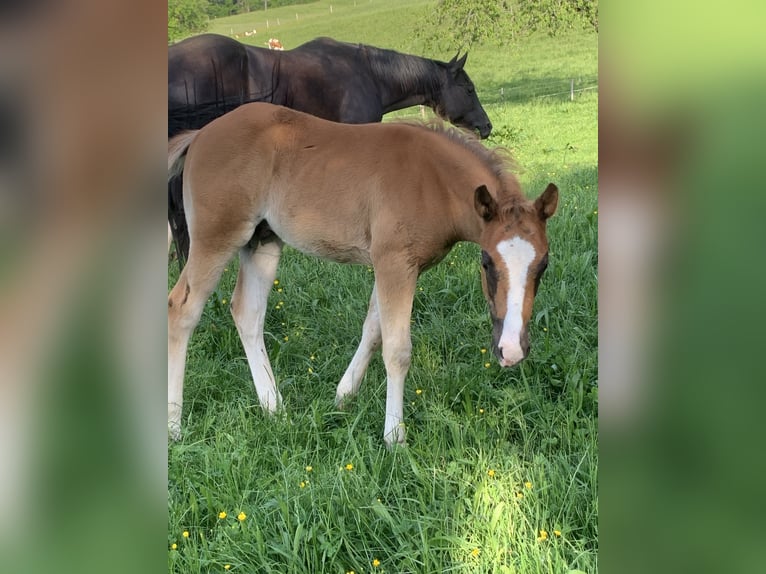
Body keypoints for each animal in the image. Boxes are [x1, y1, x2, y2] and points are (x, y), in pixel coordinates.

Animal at [166, 102, 560, 446]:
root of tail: (201, 134)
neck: (432, 181)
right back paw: (174, 426)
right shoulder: (394, 262)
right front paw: (394, 436)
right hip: (216, 238)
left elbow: (373, 331)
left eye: (543, 265)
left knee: (247, 313)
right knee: (181, 309)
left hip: (262, 242)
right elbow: (397, 349)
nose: (511, 350)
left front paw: (343, 397)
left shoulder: (394, 265)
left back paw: (275, 409)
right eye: (486, 262)